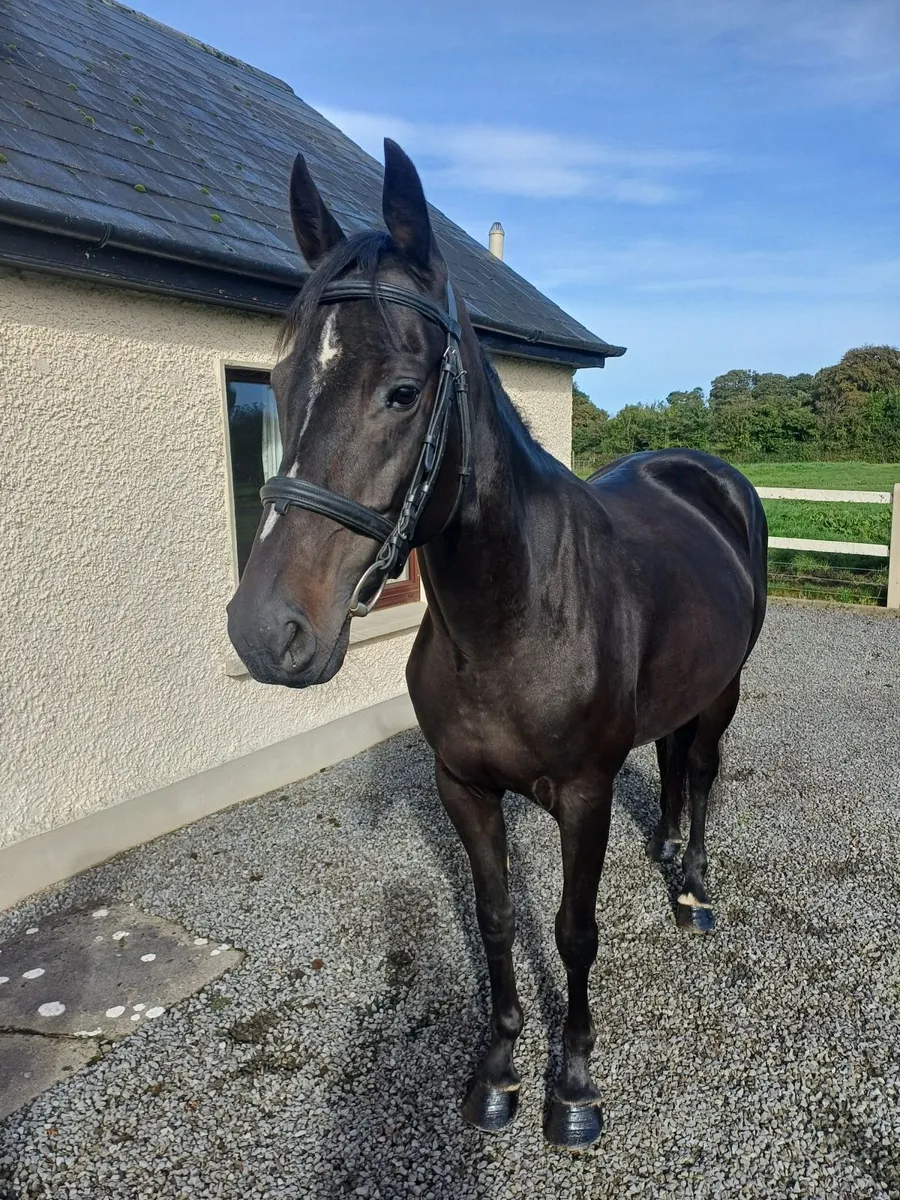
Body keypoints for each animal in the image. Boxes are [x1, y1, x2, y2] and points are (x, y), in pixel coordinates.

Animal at [226, 139, 768, 1150]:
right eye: (274, 386)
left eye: (402, 391)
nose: (264, 632)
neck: (512, 619)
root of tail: (707, 474)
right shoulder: (464, 788)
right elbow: (494, 920)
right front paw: (498, 1067)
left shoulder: (584, 796)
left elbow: (572, 931)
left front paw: (574, 1085)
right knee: (673, 765)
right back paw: (668, 851)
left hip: (725, 690)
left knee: (705, 768)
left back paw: (694, 888)